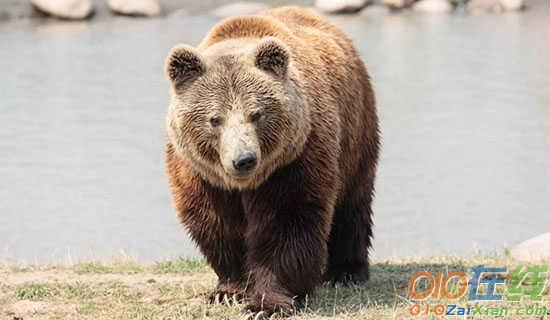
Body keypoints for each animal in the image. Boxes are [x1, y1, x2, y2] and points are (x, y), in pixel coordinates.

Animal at [164, 5, 380, 316]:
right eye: (215, 119)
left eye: (256, 114)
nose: (243, 160)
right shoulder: (198, 174)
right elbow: (217, 225)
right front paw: (229, 291)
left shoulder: (295, 160)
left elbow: (286, 223)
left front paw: (267, 303)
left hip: (355, 131)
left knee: (352, 202)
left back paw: (346, 271)